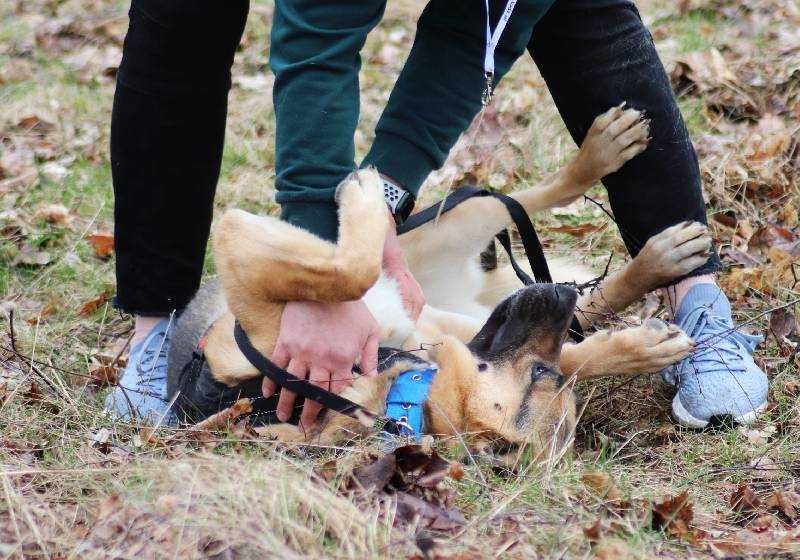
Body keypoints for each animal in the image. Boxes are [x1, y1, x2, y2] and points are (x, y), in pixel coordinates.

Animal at [166, 104, 708, 460]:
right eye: (539, 375)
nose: (562, 292)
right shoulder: (242, 246)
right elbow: (350, 270)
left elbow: (351, 269)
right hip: (448, 258)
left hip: (449, 257)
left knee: (528, 204)